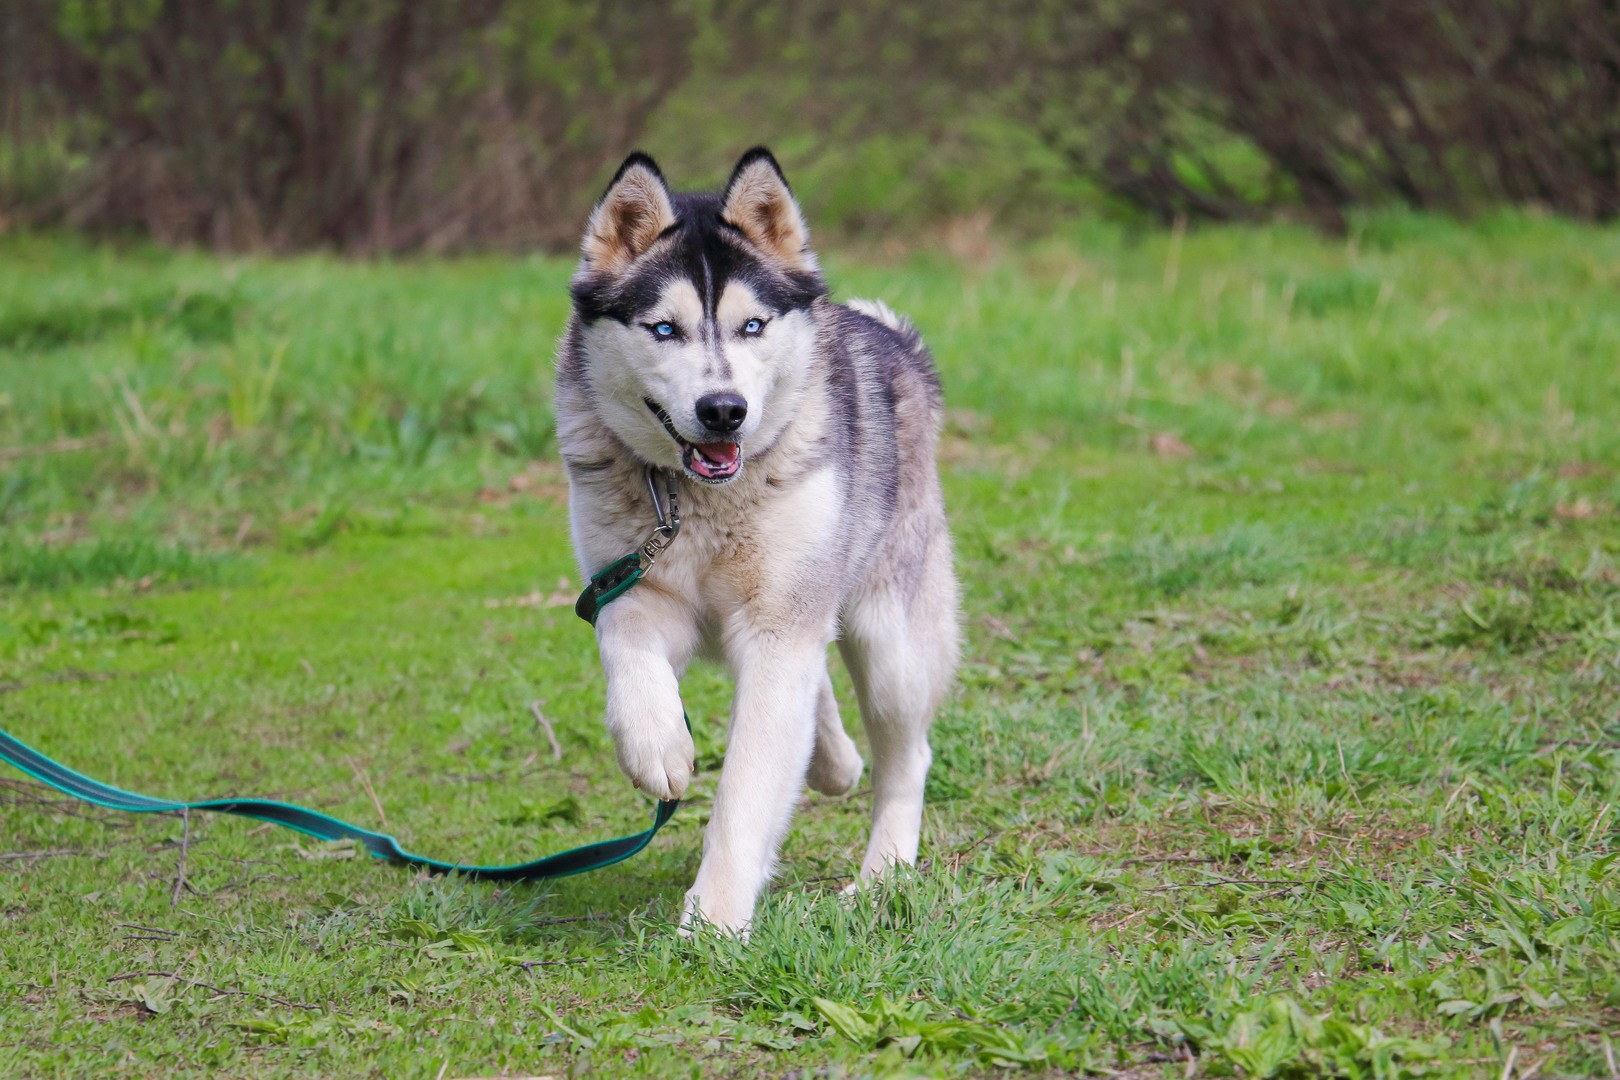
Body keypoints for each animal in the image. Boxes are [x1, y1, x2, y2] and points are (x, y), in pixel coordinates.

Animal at [557, 148, 959, 932]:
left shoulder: (779, 625)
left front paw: (713, 919)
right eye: (663, 330)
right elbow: (626, 643)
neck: (697, 502)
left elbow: (747, 789)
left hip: (890, 640)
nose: (724, 410)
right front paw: (655, 742)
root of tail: (892, 339)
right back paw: (834, 761)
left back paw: (884, 872)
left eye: (751, 326)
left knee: (908, 757)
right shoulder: (632, 583)